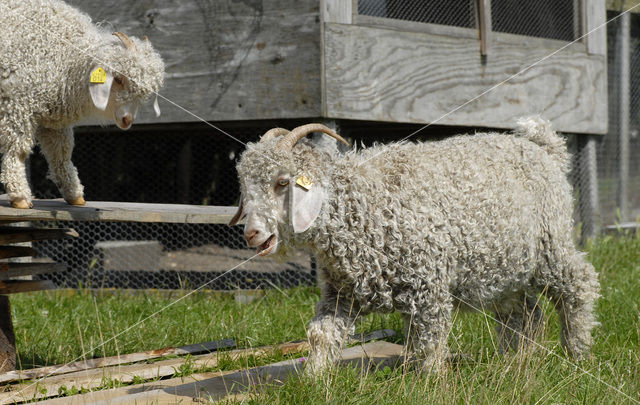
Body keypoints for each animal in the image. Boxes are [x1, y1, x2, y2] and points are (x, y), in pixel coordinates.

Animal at [0, 0, 165, 208]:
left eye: (146, 93)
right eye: (119, 79)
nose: (127, 120)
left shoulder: (53, 117)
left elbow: (61, 153)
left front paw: (74, 195)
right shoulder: (17, 105)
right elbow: (18, 150)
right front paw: (20, 197)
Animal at [230, 116, 600, 372]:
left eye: (282, 182)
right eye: (244, 185)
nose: (252, 234)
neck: (358, 204)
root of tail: (542, 147)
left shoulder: (429, 284)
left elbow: (430, 339)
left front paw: (430, 381)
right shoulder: (341, 292)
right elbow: (321, 335)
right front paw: (314, 380)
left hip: (551, 245)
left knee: (577, 286)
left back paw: (578, 354)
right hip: (504, 266)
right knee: (524, 312)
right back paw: (515, 360)